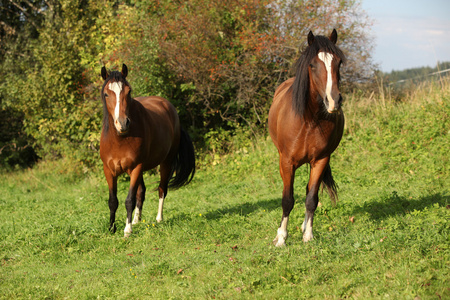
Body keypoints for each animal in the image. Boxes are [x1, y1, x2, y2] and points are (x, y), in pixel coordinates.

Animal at [100, 65, 195, 237]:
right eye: (106, 94)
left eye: (128, 91)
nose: (122, 123)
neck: (119, 139)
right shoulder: (109, 171)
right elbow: (113, 201)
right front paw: (112, 228)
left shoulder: (136, 168)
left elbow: (129, 200)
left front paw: (127, 230)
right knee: (141, 191)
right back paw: (136, 220)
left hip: (165, 163)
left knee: (162, 189)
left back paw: (159, 219)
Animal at [268, 29, 346, 246]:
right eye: (313, 64)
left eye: (339, 63)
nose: (334, 100)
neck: (310, 120)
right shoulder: (287, 162)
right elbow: (287, 199)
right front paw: (281, 238)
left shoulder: (320, 160)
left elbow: (311, 198)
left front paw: (308, 235)